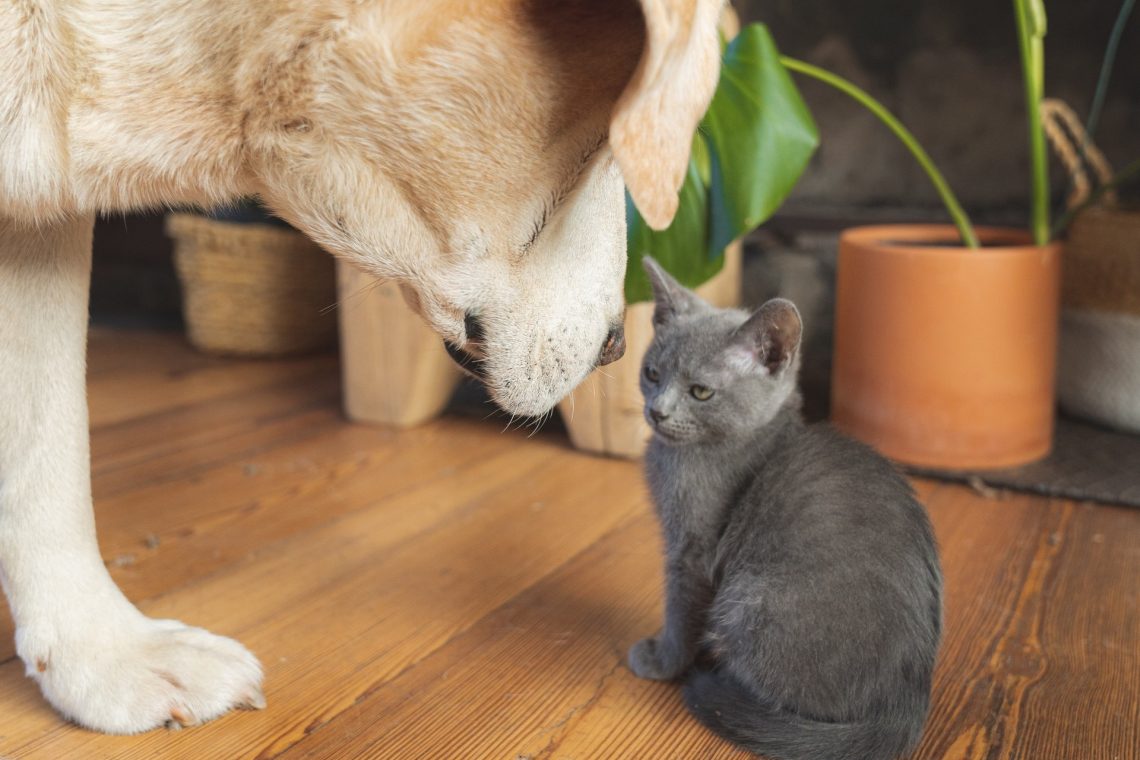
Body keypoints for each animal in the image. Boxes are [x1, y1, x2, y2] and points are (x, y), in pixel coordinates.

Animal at [629, 257, 939, 760]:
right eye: (652, 374)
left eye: (700, 392)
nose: (658, 411)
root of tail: (906, 705)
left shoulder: (693, 550)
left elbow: (681, 609)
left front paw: (662, 661)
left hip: (747, 600)